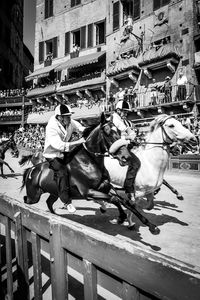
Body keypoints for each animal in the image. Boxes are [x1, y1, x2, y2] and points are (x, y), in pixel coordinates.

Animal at [20, 114, 160, 234]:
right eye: (107, 132)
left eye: (120, 132)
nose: (126, 157)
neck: (88, 162)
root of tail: (32, 170)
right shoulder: (88, 192)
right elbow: (114, 199)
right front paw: (121, 217)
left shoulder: (106, 187)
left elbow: (124, 201)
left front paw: (151, 226)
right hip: (34, 195)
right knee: (26, 199)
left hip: (54, 193)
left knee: (49, 202)